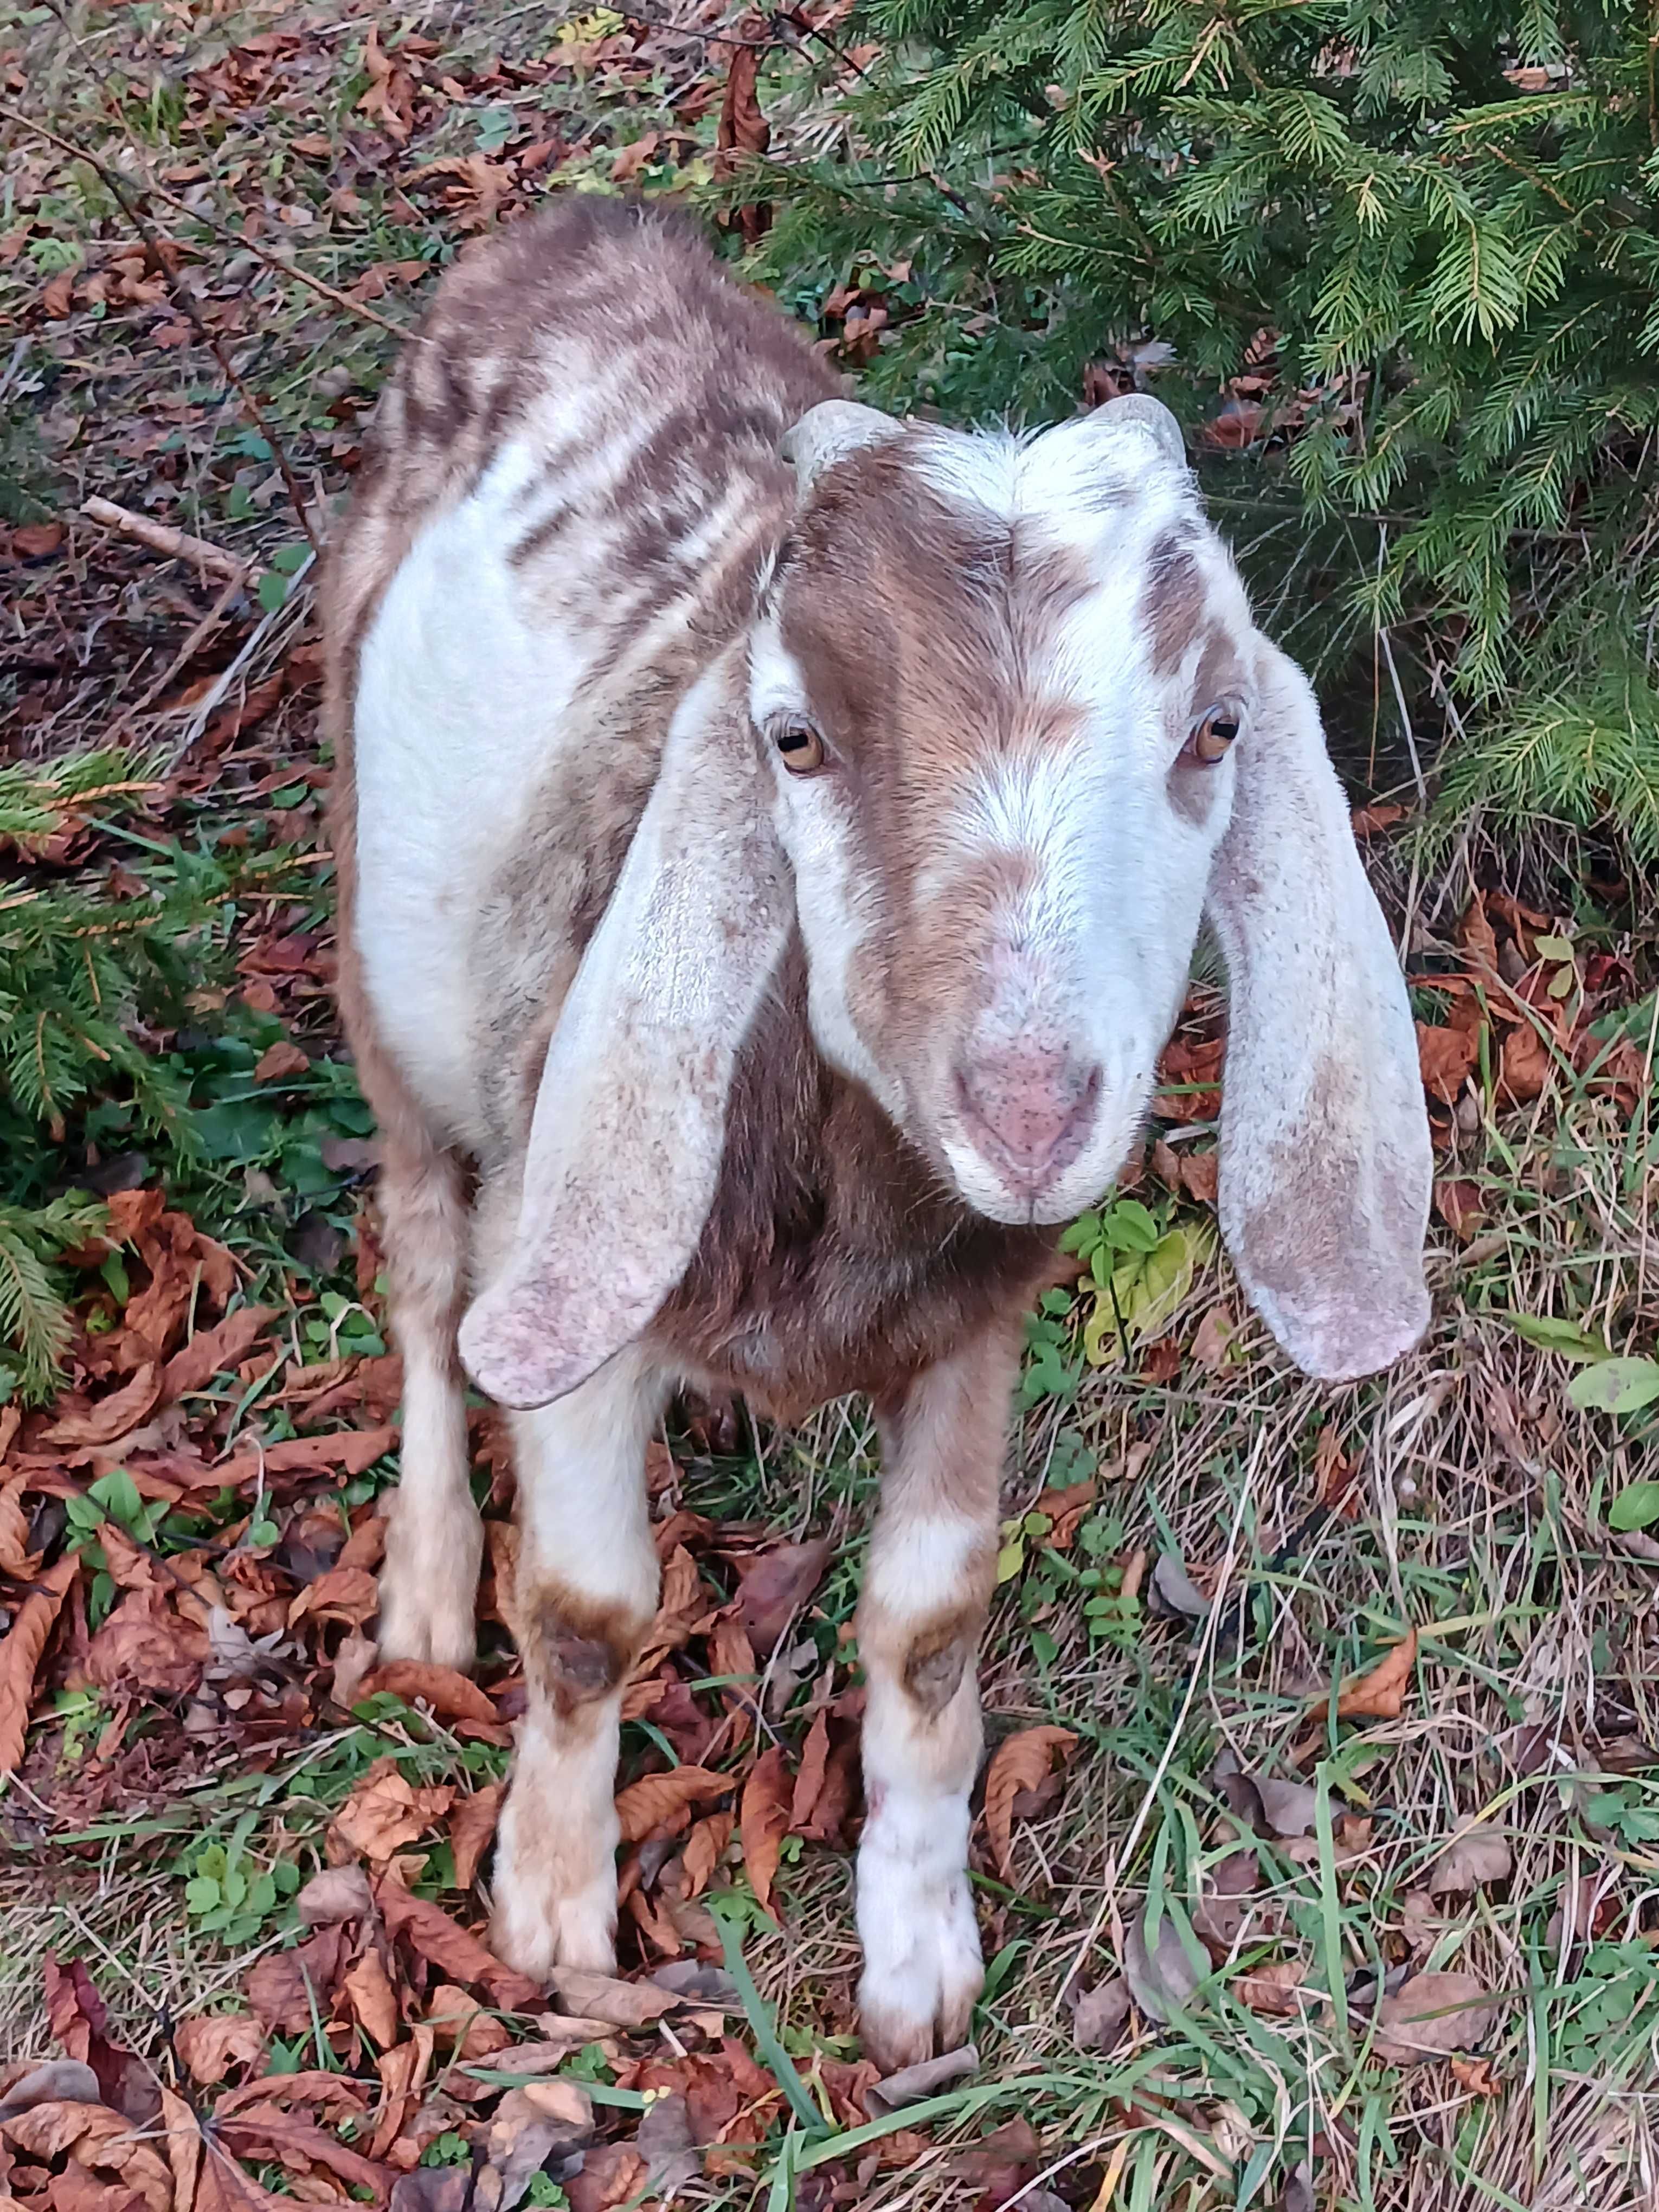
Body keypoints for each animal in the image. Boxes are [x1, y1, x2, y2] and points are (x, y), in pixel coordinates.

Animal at [327, 199, 1442, 2061]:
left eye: (1217, 726)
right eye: (791, 735)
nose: (1030, 1107)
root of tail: (579, 230)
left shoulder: (974, 1319)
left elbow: (928, 1629)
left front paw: (919, 1963)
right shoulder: (578, 1262)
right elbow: (585, 1616)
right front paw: (552, 1908)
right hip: (384, 983)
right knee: (421, 1263)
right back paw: (423, 1578)